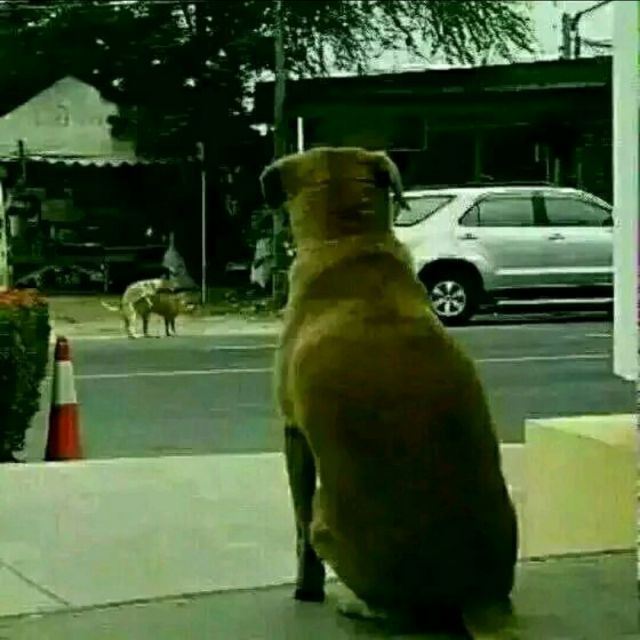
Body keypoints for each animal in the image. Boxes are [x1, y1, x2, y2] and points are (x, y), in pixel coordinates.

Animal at [261, 147, 518, 636]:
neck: (349, 240)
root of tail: (476, 597)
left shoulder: (293, 434)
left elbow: (299, 526)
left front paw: (307, 588)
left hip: (328, 521)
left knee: (394, 612)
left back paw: (354, 605)